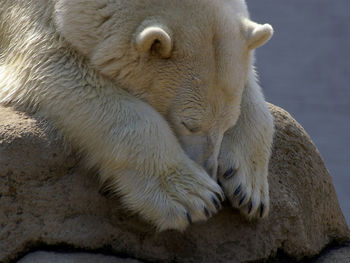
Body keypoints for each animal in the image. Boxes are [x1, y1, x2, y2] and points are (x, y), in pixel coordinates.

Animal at [0, 0, 274, 231]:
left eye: (228, 126)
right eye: (188, 124)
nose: (209, 171)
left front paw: (248, 187)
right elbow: (53, 69)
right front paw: (194, 196)